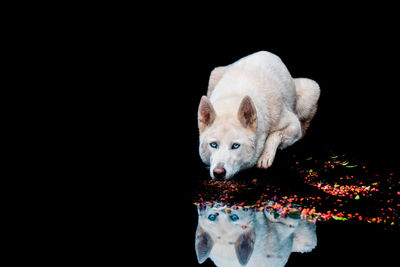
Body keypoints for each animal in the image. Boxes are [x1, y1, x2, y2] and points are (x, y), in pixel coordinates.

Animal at [198, 50, 320, 180]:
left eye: (235, 146)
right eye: (213, 144)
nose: (218, 173)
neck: (234, 98)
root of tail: (265, 52)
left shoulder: (293, 126)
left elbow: (274, 135)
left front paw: (265, 157)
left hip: (310, 91)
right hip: (214, 74)